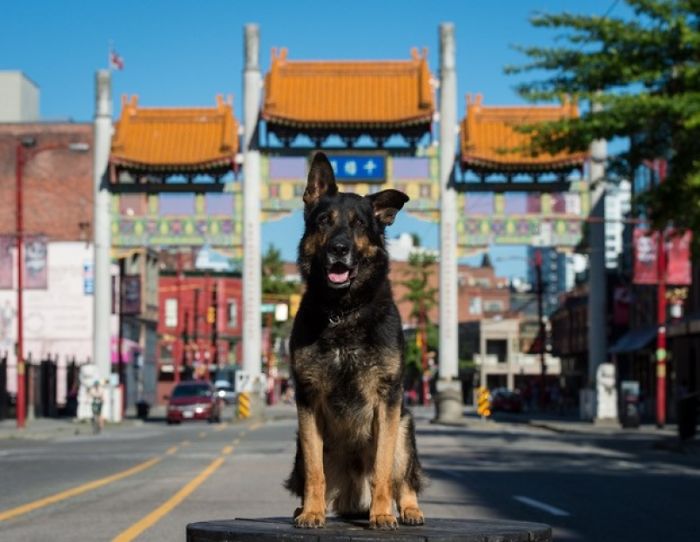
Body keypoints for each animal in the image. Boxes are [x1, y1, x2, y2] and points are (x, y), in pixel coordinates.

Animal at [286, 153, 426, 532]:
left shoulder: (388, 399)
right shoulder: (307, 399)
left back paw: (408, 510)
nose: (339, 249)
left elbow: (382, 470)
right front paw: (312, 512)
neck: (343, 312)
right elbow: (315, 473)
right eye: (324, 221)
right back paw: (304, 507)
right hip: (300, 446)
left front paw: (382, 514)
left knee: (404, 479)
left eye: (359, 224)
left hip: (405, 429)